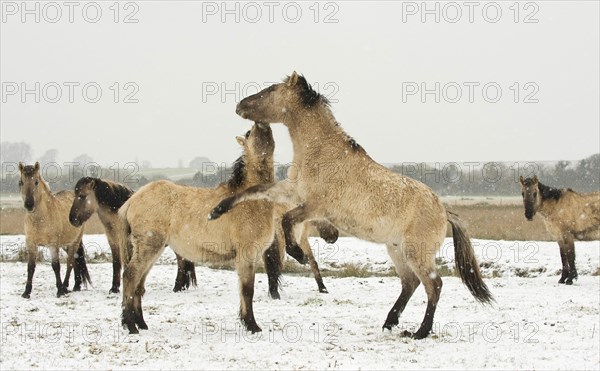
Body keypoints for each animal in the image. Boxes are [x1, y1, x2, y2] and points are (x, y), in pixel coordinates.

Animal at [17, 163, 91, 300]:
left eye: (36, 182)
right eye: (21, 182)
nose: (29, 204)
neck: (40, 220)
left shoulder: (53, 245)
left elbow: (56, 266)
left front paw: (60, 291)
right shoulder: (31, 244)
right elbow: (30, 267)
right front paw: (26, 292)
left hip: (74, 242)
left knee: (70, 262)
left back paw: (66, 287)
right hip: (65, 244)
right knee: (75, 261)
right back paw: (76, 286)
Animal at [69, 177, 197, 294]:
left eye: (82, 196)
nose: (72, 219)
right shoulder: (114, 243)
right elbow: (116, 263)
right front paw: (114, 288)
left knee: (181, 261)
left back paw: (177, 288)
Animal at [209, 72, 494, 340]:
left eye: (270, 90)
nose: (239, 105)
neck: (321, 152)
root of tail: (444, 211)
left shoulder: (315, 207)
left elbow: (287, 220)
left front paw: (297, 253)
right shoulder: (292, 193)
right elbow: (253, 192)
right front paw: (216, 211)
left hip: (417, 252)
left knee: (433, 285)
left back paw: (418, 332)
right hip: (397, 250)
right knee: (410, 283)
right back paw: (389, 323)